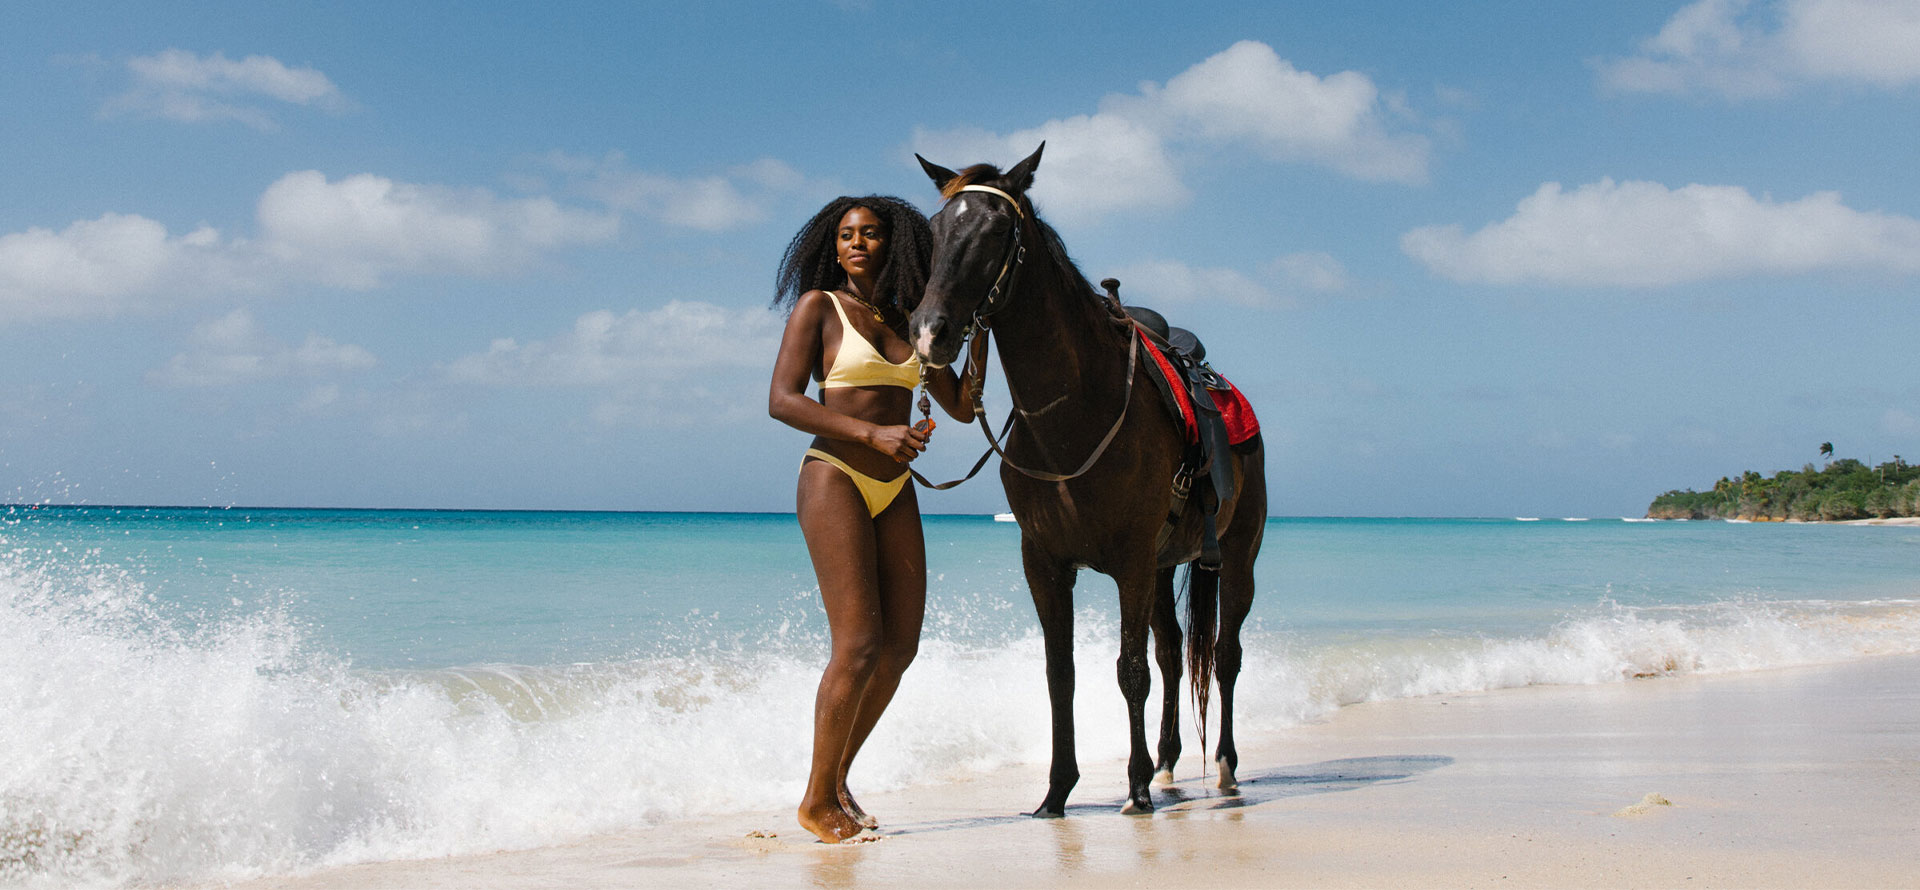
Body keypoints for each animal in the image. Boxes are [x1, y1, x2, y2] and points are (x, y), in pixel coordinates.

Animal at [906, 143, 1267, 813]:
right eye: (937, 230)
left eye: (998, 231)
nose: (927, 332)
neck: (1075, 411)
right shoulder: (1046, 562)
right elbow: (1061, 673)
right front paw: (1057, 791)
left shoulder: (1129, 560)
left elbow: (1129, 671)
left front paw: (1134, 788)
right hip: (1164, 566)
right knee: (1174, 652)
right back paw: (1169, 763)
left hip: (1235, 554)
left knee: (1225, 655)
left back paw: (1224, 767)